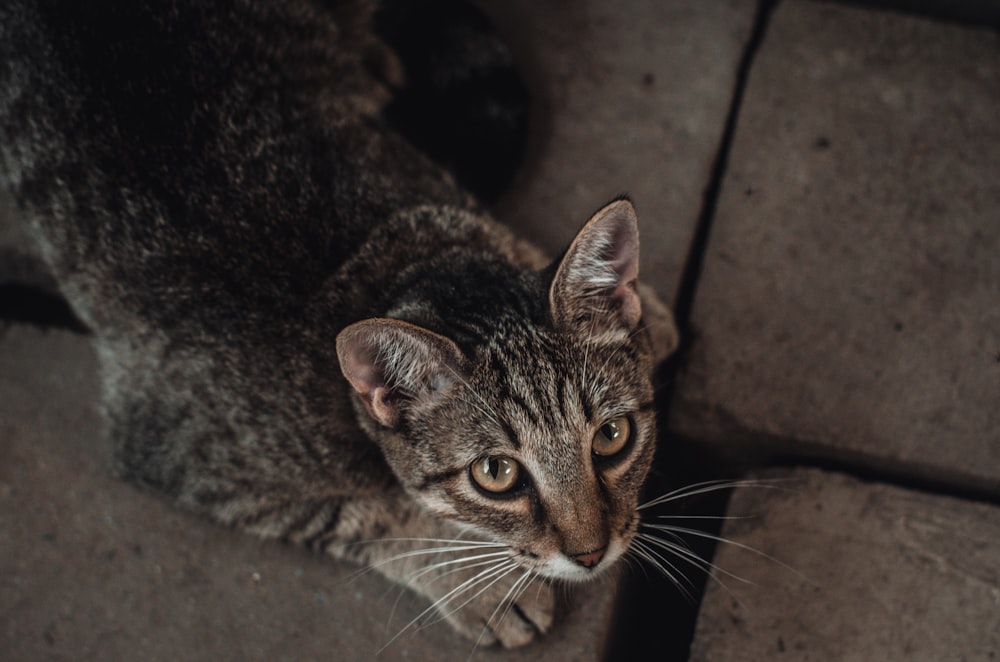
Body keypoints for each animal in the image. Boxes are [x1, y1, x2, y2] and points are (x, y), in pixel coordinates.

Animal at [0, 0, 680, 648]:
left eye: (612, 436)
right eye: (496, 475)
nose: (592, 555)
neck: (395, 263)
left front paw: (639, 306)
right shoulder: (178, 450)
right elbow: (381, 514)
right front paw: (476, 584)